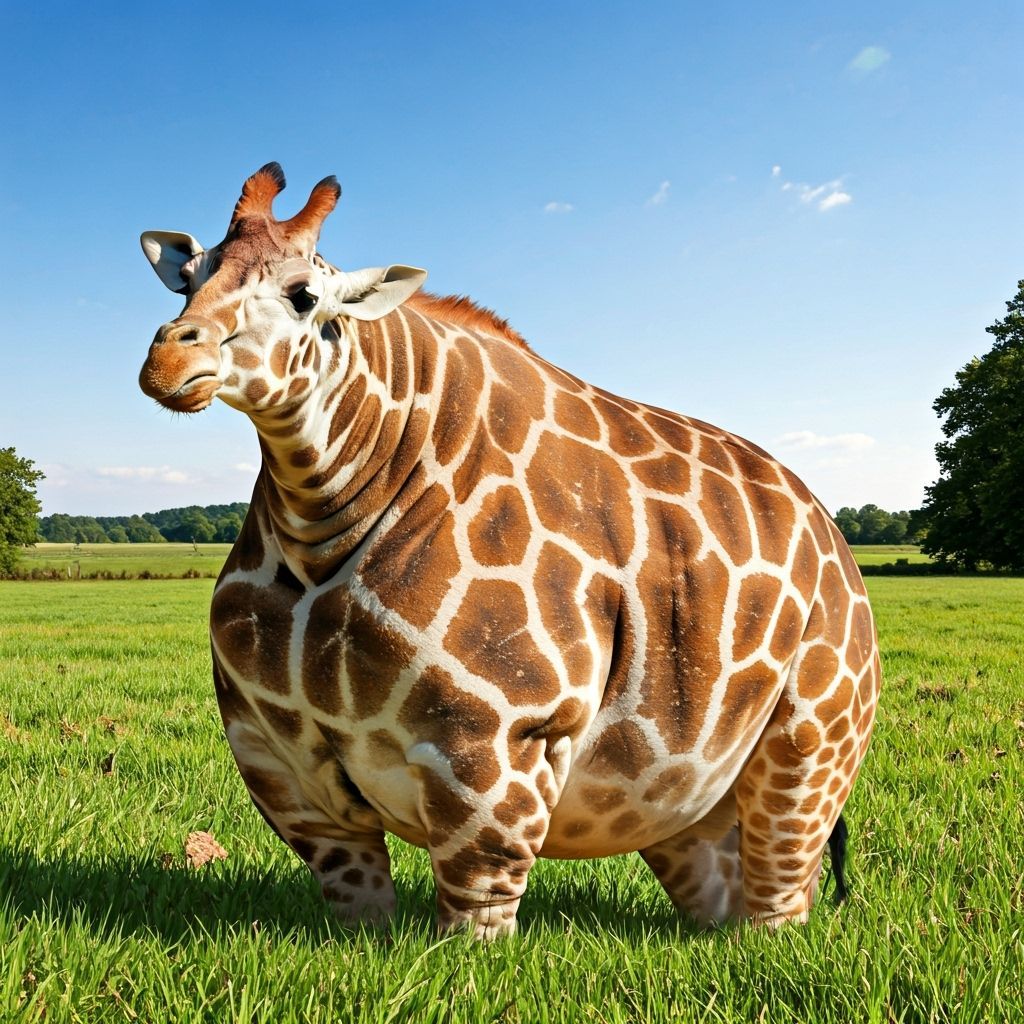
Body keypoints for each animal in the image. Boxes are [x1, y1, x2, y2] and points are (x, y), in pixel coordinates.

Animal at [139, 163, 880, 938]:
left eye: (303, 294)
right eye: (188, 278)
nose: (170, 358)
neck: (323, 520)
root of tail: (832, 533)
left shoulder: (495, 749)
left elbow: (476, 917)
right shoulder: (281, 765)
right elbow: (357, 906)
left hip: (810, 744)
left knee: (781, 903)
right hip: (690, 803)